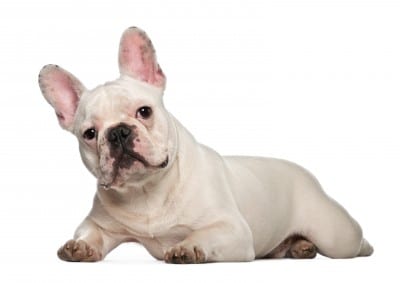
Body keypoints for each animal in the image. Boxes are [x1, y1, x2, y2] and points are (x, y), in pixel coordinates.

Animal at [39, 27, 374, 264]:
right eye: (90, 133)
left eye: (144, 112)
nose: (118, 132)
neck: (146, 192)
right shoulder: (101, 224)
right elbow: (88, 233)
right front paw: (80, 245)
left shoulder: (232, 229)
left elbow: (205, 234)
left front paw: (188, 246)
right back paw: (300, 247)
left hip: (336, 234)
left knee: (351, 239)